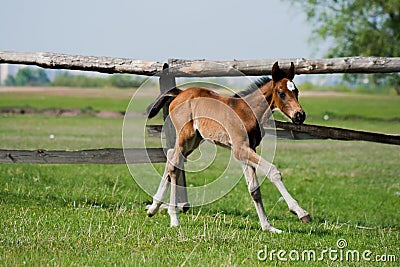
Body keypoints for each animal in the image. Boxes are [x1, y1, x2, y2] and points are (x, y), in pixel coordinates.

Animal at [145, 61, 310, 233]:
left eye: (296, 91)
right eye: (281, 92)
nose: (300, 115)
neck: (249, 112)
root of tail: (180, 93)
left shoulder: (248, 150)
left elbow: (254, 189)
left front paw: (268, 227)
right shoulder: (240, 149)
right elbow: (273, 171)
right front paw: (301, 212)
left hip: (195, 140)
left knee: (171, 158)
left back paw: (154, 208)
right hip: (186, 136)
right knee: (174, 163)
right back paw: (173, 218)